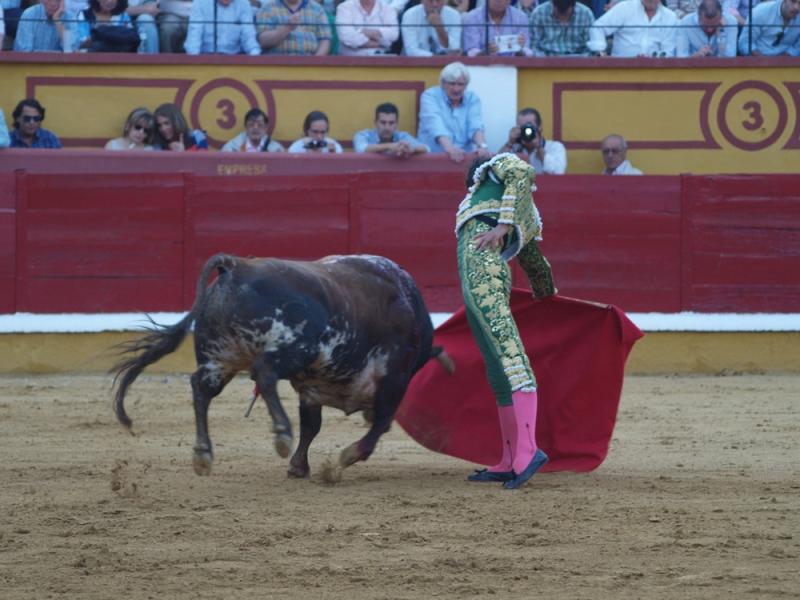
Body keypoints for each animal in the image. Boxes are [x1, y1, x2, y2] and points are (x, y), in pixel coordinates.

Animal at [111, 253, 450, 478]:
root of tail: (236, 267)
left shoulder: (313, 387)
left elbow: (312, 426)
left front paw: (299, 467)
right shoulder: (395, 376)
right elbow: (380, 422)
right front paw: (343, 459)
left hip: (220, 357)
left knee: (201, 388)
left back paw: (203, 454)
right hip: (293, 349)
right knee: (264, 374)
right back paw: (281, 434)